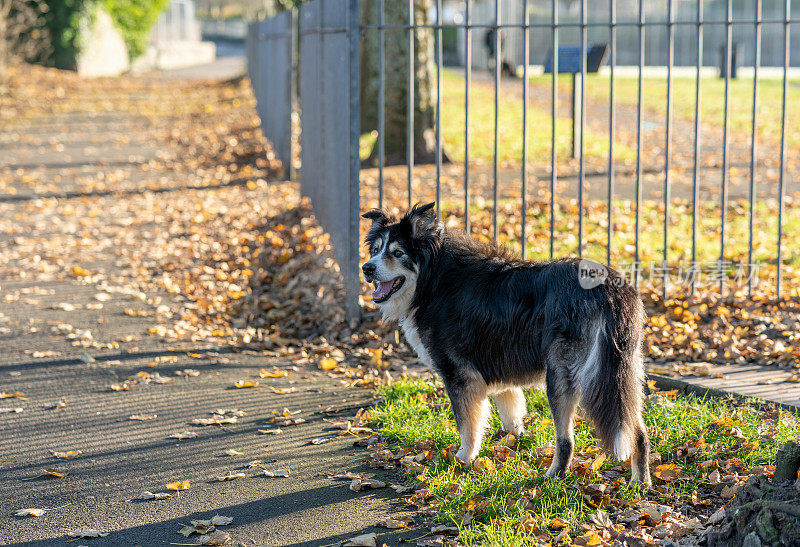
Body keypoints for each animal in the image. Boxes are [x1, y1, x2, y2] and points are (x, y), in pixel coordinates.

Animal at [362, 203, 648, 486]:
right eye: (375, 251)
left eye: (398, 253)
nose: (367, 268)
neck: (432, 278)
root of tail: (610, 287)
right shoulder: (497, 369)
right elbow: (510, 413)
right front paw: (514, 444)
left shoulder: (460, 375)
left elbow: (467, 425)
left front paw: (462, 460)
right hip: (623, 371)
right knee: (637, 430)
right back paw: (640, 483)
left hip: (564, 375)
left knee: (567, 440)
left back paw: (551, 477)